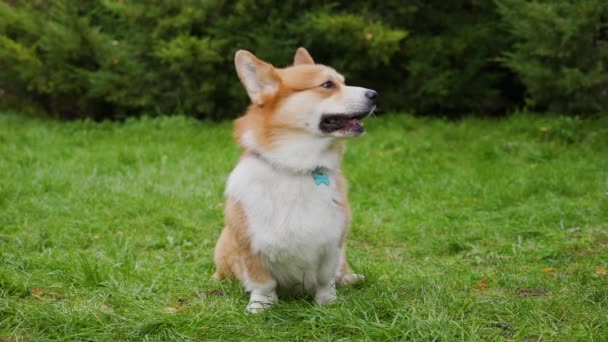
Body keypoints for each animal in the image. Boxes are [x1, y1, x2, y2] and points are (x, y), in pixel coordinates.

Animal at [213, 47, 376, 312]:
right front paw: (260, 307)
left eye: (343, 81)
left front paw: (328, 302)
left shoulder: (333, 244)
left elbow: (325, 279)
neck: (297, 167)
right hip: (224, 244)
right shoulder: (252, 245)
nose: (375, 94)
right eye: (327, 84)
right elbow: (263, 283)